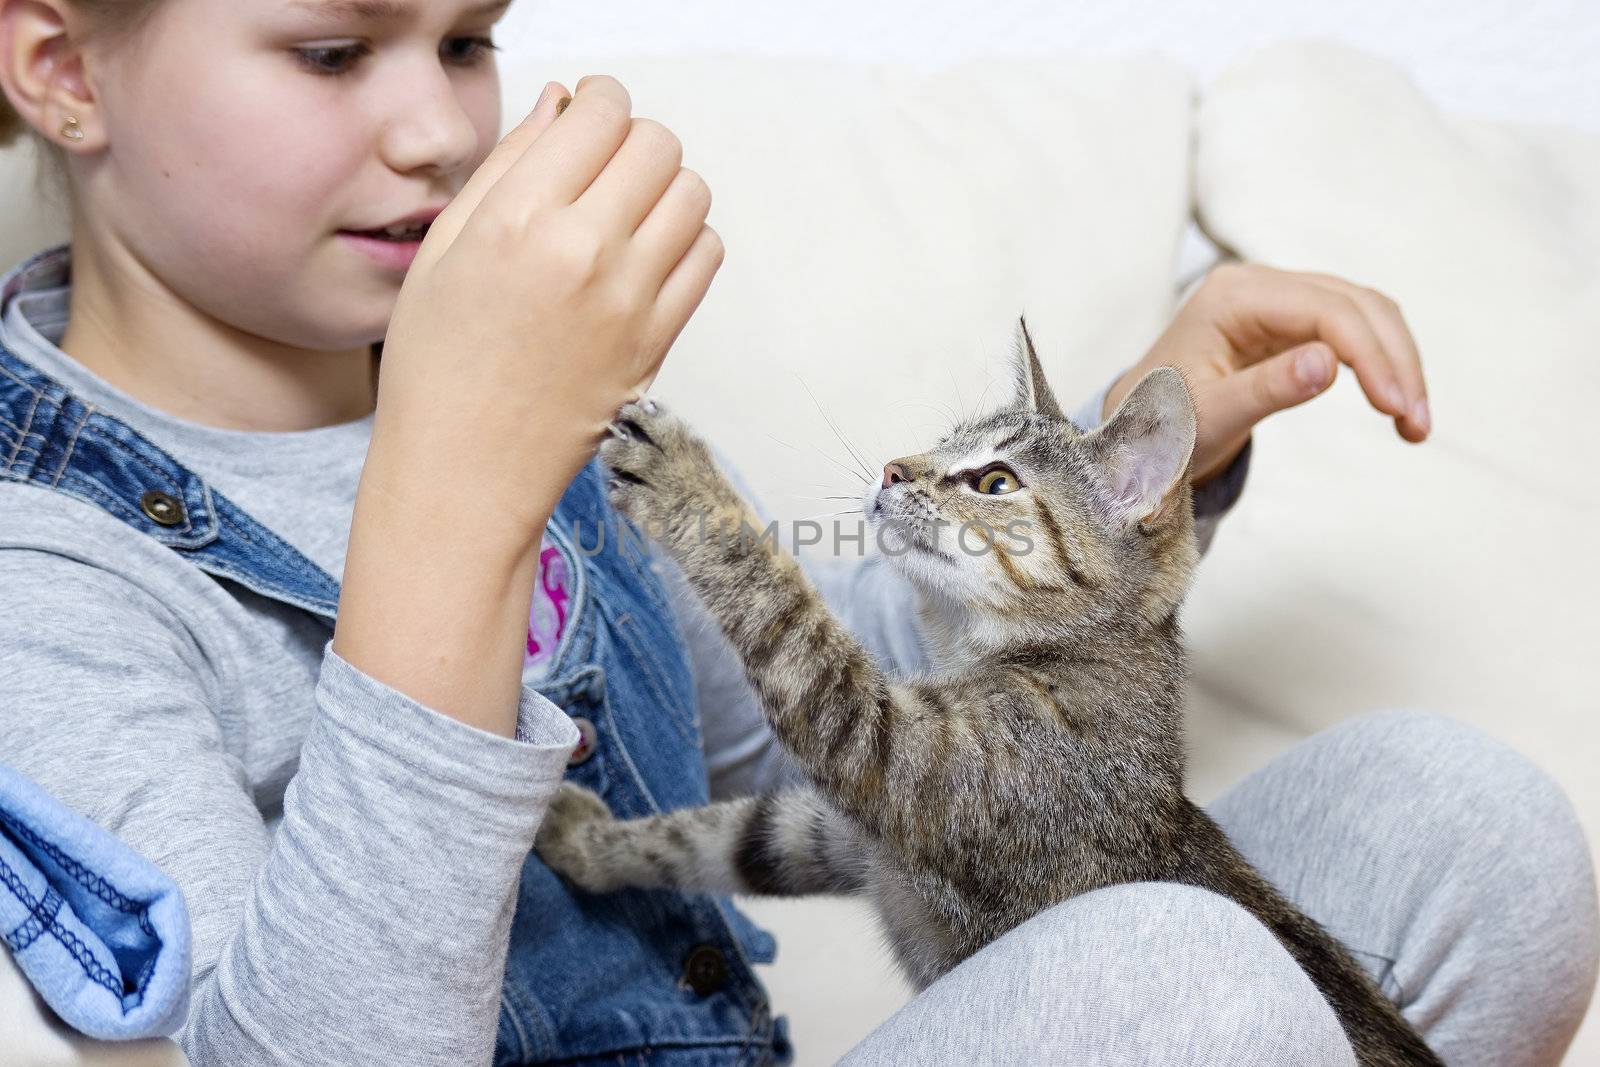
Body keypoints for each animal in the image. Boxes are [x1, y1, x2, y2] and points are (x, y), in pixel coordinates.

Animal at [544, 319, 1446, 1067]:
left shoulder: (890, 748)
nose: (893, 466)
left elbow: (782, 607)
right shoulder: (853, 835)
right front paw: (580, 837)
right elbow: (722, 836)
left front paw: (689, 483)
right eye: (944, 442)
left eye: (995, 483)